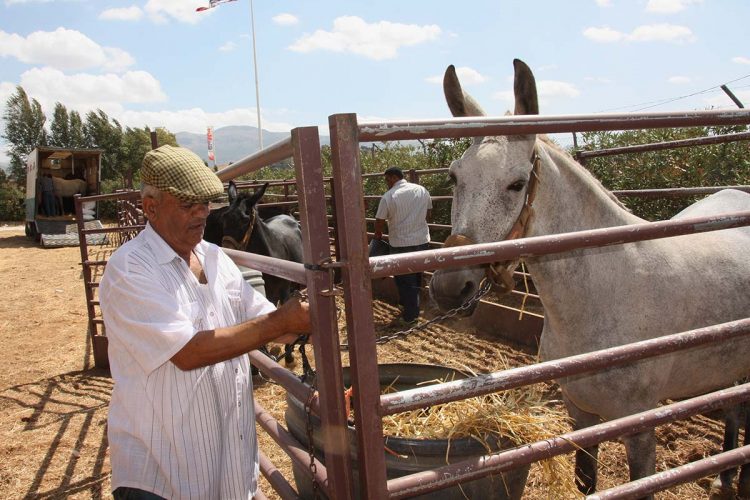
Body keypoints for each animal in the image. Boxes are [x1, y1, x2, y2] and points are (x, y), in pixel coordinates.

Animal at [428, 59, 750, 500]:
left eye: (516, 183)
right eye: (454, 177)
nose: (449, 286)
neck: (606, 291)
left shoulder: (639, 424)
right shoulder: (580, 412)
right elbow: (587, 480)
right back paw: (725, 473)